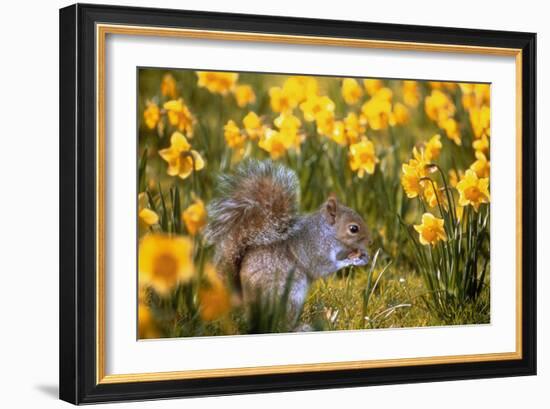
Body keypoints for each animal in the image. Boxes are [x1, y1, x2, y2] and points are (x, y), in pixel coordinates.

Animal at [205, 159, 374, 318]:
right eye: (353, 229)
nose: (370, 241)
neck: (326, 232)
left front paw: (363, 257)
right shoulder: (314, 249)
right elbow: (324, 267)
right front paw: (351, 260)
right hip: (287, 295)